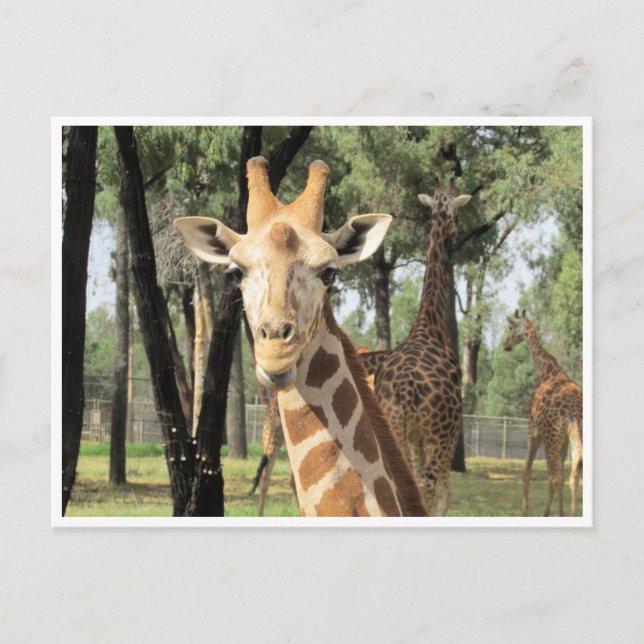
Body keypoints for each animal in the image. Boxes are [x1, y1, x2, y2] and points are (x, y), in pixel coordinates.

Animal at [374, 178, 471, 516]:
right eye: (455, 213)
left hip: (395, 428)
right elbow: (443, 494)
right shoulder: (447, 432)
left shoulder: (414, 436)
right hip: (440, 434)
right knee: (430, 484)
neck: (430, 320)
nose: (454, 232)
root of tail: (406, 388)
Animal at [503, 310, 583, 516]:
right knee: (572, 476)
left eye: (510, 326)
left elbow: (527, 470)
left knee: (553, 477)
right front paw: (562, 513)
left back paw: (546, 513)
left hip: (550, 438)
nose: (505, 344)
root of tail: (572, 411)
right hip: (573, 438)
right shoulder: (564, 441)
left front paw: (524, 511)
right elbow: (562, 477)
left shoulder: (533, 429)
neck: (546, 369)